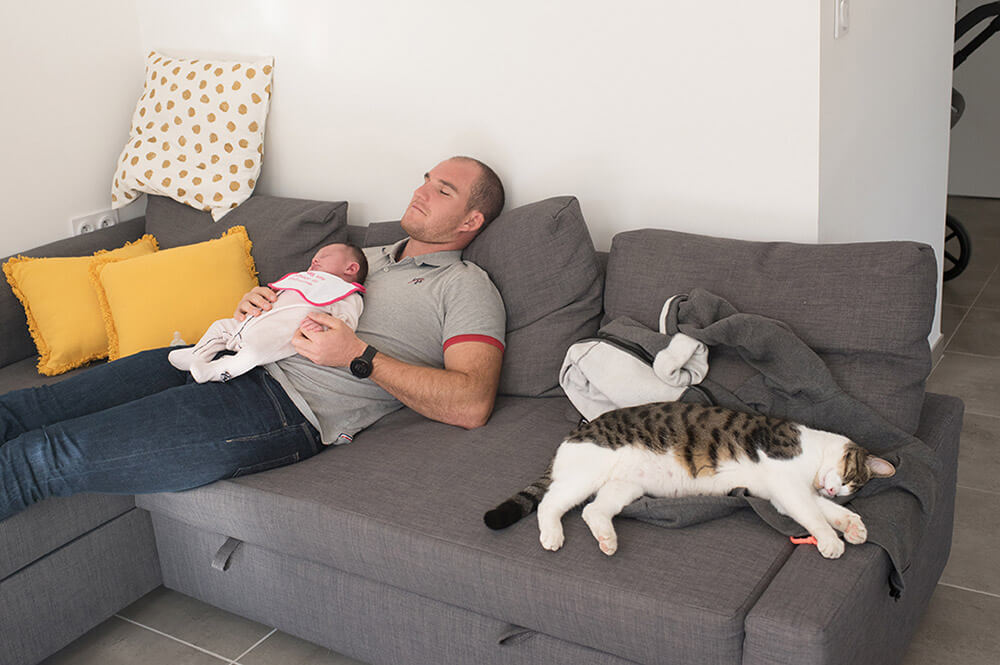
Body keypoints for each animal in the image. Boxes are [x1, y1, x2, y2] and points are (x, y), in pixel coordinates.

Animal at [484, 402, 900, 556]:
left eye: (849, 489)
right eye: (850, 477)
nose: (834, 488)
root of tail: (574, 433)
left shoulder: (784, 494)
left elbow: (821, 510)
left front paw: (852, 525)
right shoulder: (787, 484)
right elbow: (813, 514)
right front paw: (832, 542)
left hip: (625, 486)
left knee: (593, 512)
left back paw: (607, 540)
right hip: (588, 473)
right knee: (551, 502)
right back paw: (552, 535)